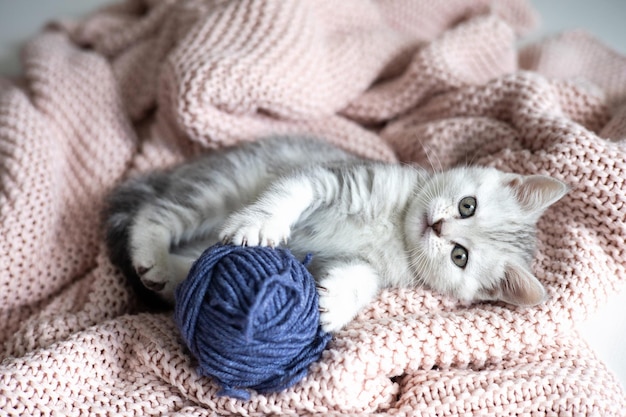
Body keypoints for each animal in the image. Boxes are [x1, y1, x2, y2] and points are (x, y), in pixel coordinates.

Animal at [106, 136, 564, 332]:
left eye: (459, 256)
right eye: (468, 205)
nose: (438, 226)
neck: (395, 225)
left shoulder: (369, 265)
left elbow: (364, 277)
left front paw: (335, 304)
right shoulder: (332, 176)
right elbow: (291, 193)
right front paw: (262, 223)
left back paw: (172, 277)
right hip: (221, 186)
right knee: (156, 211)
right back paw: (152, 254)